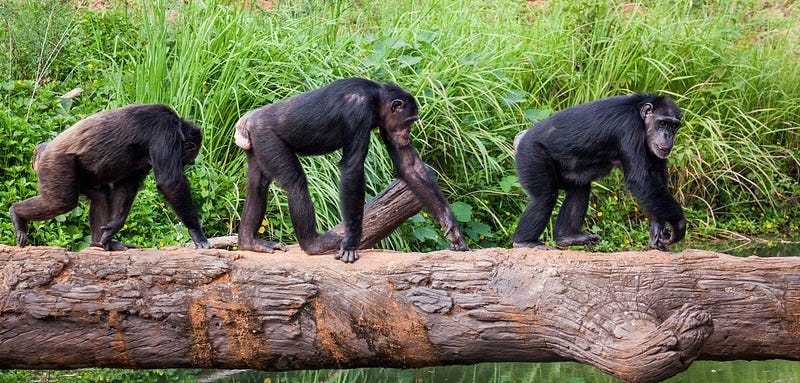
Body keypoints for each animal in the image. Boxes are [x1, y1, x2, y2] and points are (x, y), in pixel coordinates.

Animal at [10, 103, 211, 250]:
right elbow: (170, 182)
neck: (178, 127)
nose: (192, 162)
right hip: (55, 164)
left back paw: (102, 243)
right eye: (188, 159)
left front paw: (115, 225)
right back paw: (17, 215)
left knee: (100, 196)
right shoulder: (164, 132)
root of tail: (41, 149)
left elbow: (127, 184)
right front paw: (197, 233)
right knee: (60, 202)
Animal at [231, 78, 468, 264]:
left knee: (257, 186)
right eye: (409, 121)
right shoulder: (357, 112)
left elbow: (409, 165)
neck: (375, 100)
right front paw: (352, 243)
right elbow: (352, 169)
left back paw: (248, 242)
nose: (407, 133)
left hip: (258, 145)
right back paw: (314, 243)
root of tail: (246, 121)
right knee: (295, 183)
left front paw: (451, 225)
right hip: (268, 137)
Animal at [516, 94, 684, 252]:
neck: (642, 120)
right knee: (544, 197)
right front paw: (679, 224)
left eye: (674, 126)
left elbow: (655, 182)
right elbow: (640, 181)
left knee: (579, 189)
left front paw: (656, 231)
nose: (668, 135)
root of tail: (521, 137)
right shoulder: (630, 128)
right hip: (531, 154)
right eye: (662, 123)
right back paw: (525, 241)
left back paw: (567, 236)